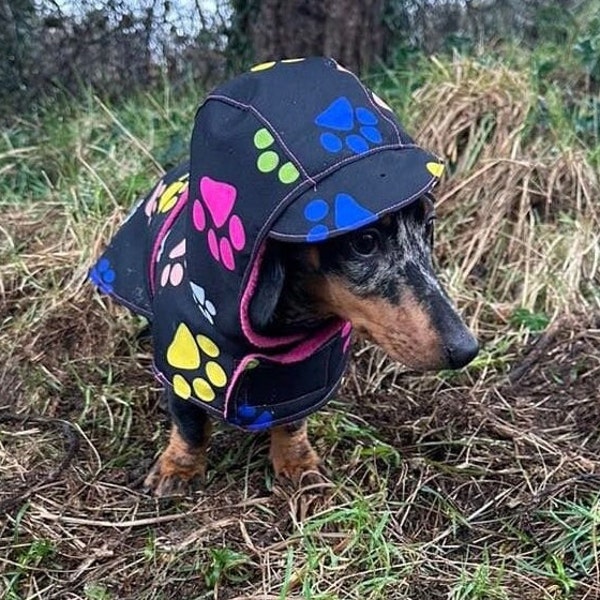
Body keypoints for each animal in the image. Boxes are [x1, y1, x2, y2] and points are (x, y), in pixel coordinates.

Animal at [89, 56, 480, 496]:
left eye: (428, 226)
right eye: (364, 241)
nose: (466, 349)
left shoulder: (306, 371)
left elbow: (293, 421)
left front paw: (297, 464)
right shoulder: (183, 359)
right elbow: (190, 423)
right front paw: (179, 469)